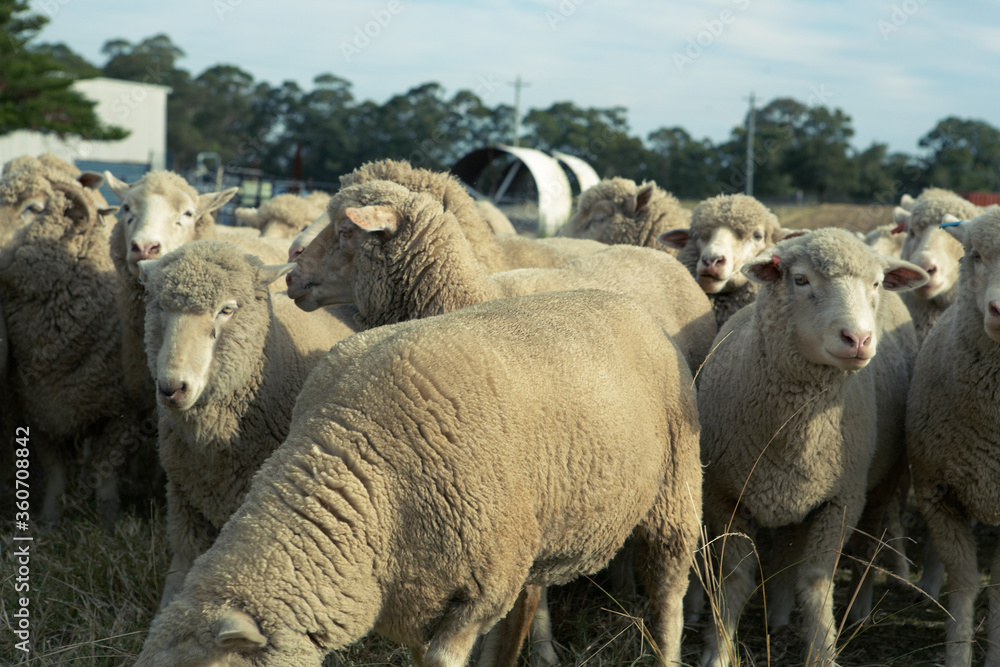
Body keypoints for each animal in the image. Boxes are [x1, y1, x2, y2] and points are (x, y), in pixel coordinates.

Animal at [0, 154, 144, 524]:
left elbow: (106, 470)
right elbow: (55, 470)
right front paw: (49, 519)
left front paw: (108, 518)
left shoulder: (122, 411)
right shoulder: (39, 409)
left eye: (33, 208)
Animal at [134, 288, 704, 667]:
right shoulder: (417, 596)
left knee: (668, 599)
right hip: (536, 530)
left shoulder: (477, 594)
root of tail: (629, 304)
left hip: (675, 492)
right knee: (525, 608)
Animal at [696, 228, 927, 667]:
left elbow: (817, 583)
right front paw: (718, 650)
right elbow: (734, 577)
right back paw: (779, 616)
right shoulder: (722, 494)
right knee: (787, 549)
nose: (858, 338)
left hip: (881, 480)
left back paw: (859, 610)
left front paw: (822, 651)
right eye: (800, 280)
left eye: (876, 283)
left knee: (866, 547)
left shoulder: (841, 500)